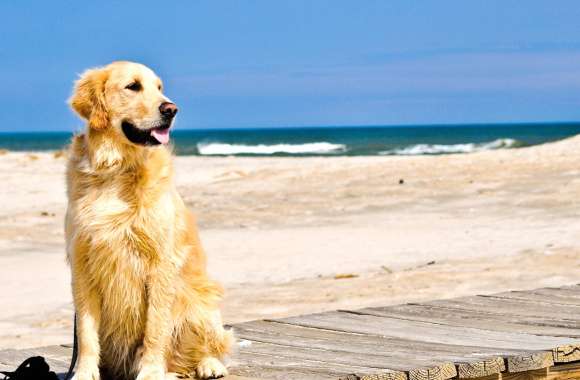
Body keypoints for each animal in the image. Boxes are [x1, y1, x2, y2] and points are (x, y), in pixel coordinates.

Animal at [65, 60, 233, 378]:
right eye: (133, 86)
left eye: (159, 87)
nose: (171, 109)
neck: (116, 169)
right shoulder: (82, 264)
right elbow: (85, 331)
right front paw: (83, 371)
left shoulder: (160, 265)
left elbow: (155, 327)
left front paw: (152, 370)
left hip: (201, 300)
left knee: (208, 345)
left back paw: (209, 364)